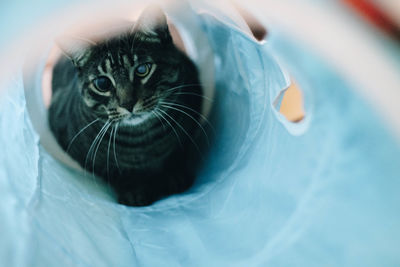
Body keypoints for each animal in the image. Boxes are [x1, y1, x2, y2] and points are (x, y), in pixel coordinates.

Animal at [48, 5, 208, 207]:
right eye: (102, 83)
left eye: (142, 70)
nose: (128, 104)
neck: (143, 141)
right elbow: (115, 173)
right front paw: (133, 191)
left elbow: (177, 153)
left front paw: (174, 176)